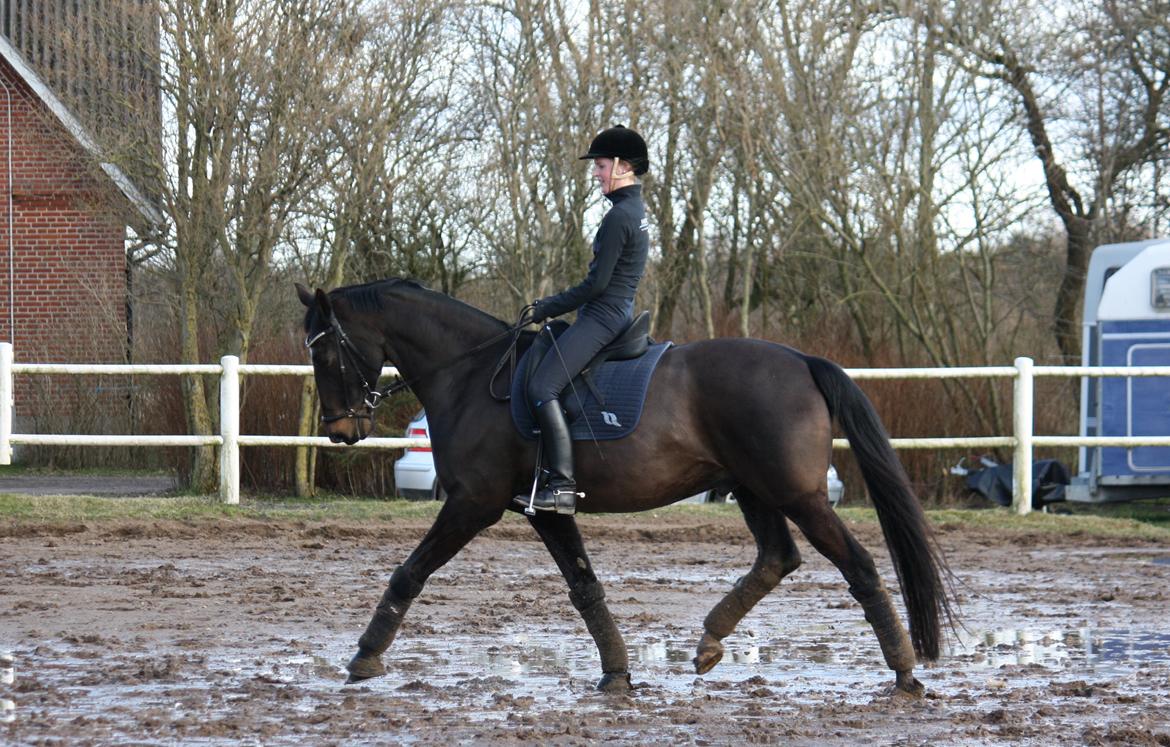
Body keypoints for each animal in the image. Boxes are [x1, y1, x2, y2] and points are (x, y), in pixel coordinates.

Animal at [292, 279, 950, 697]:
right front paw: (617, 674)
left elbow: (410, 572)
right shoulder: (544, 509)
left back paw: (904, 674)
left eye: (325, 352)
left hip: (796, 495)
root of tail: (801, 359)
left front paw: (365, 657)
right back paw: (710, 641)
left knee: (857, 565)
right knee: (777, 558)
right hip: (754, 488)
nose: (342, 432)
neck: (471, 375)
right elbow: (585, 587)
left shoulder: (474, 504)